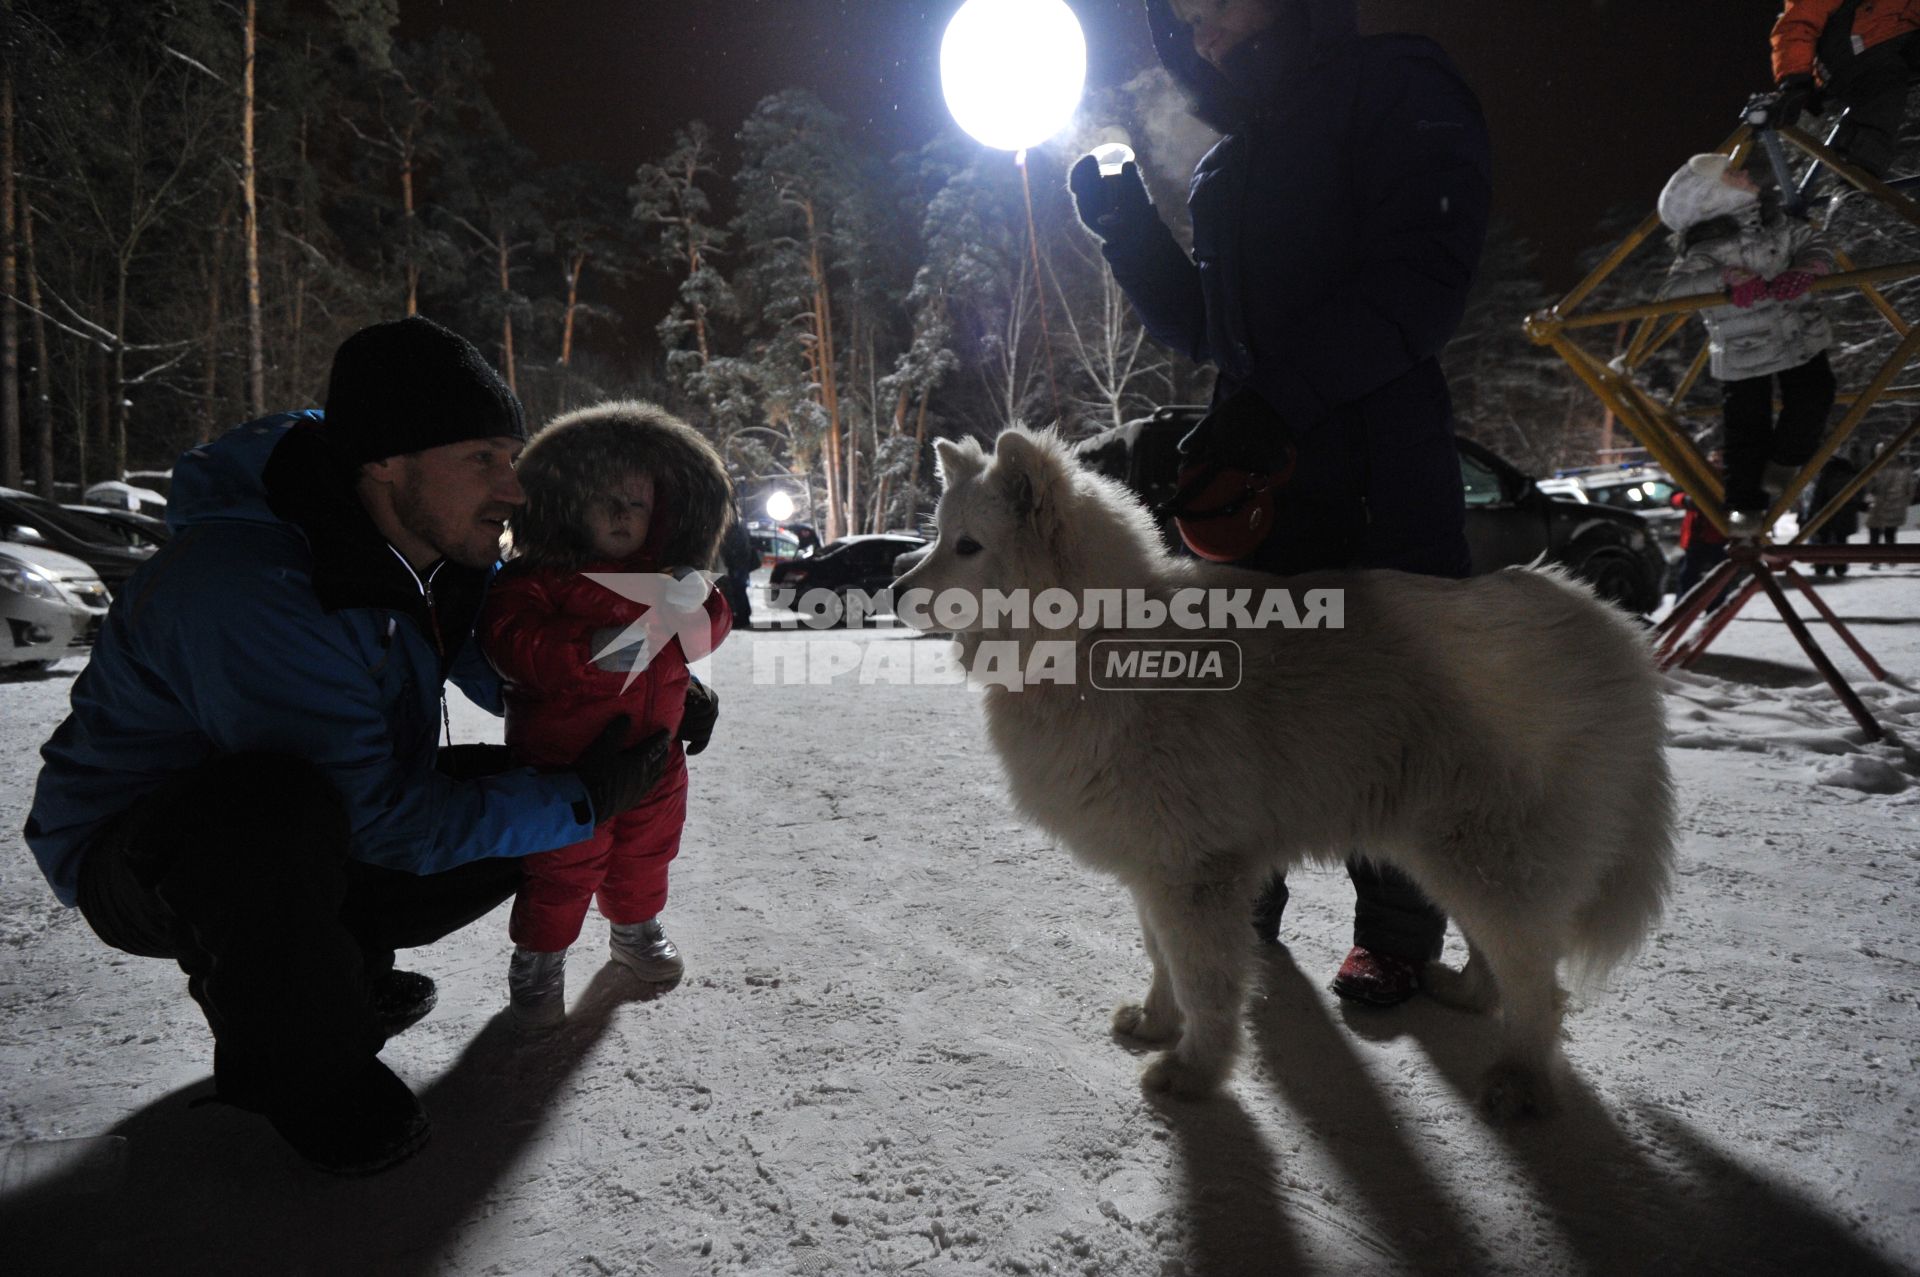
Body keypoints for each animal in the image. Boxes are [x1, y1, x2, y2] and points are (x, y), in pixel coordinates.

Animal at [890, 426, 1674, 1113]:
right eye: (935, 535)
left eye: (968, 545)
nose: (893, 592)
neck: (1097, 638)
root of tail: (1611, 629)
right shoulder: (1154, 867)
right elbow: (1161, 958)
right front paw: (1155, 1023)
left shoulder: (1195, 874)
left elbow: (1204, 982)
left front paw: (1193, 1072)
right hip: (1459, 852)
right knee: (1508, 956)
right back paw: (1469, 995)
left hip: (1481, 850)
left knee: (1539, 983)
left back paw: (1520, 1081)